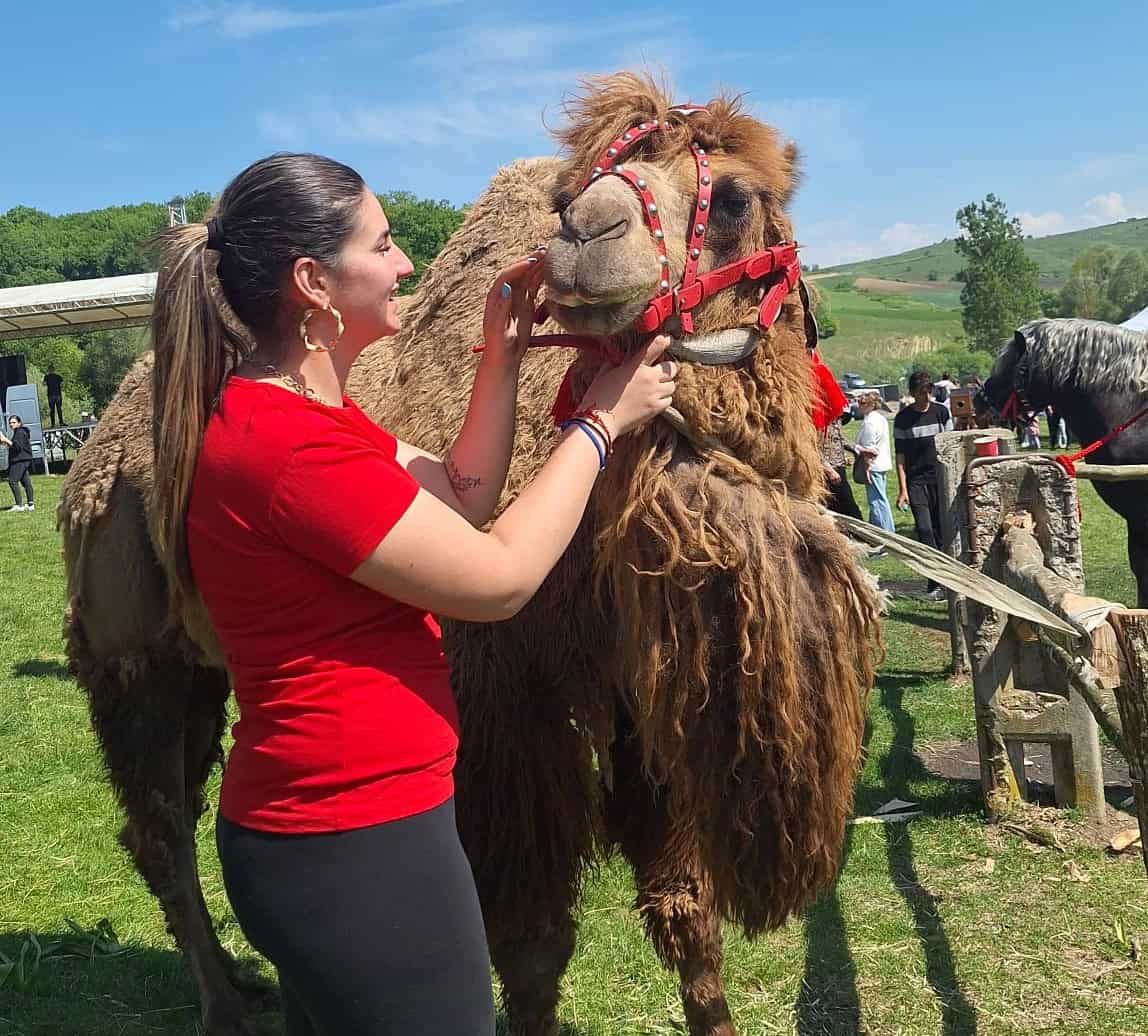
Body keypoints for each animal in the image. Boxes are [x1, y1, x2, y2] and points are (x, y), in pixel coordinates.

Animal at [58, 75, 877, 1036]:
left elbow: (689, 913)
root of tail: (106, 435)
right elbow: (532, 941)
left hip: (201, 662)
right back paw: (223, 1003)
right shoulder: (502, 708)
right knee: (158, 827)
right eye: (568, 197)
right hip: (128, 652)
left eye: (737, 198)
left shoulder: (648, 703)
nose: (586, 236)